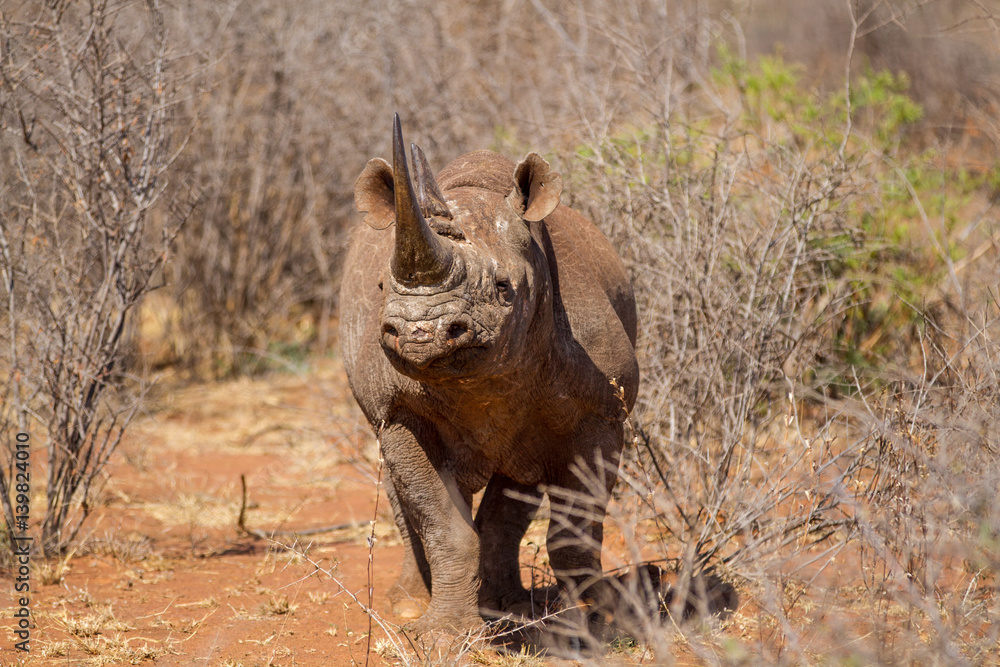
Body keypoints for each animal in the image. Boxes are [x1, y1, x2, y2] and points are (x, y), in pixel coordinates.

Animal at [339, 115, 639, 633]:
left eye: (503, 288)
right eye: (380, 287)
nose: (420, 333)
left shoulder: (604, 409)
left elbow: (577, 528)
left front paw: (601, 619)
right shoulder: (396, 410)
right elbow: (444, 525)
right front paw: (440, 636)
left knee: (521, 474)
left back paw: (509, 608)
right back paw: (410, 605)